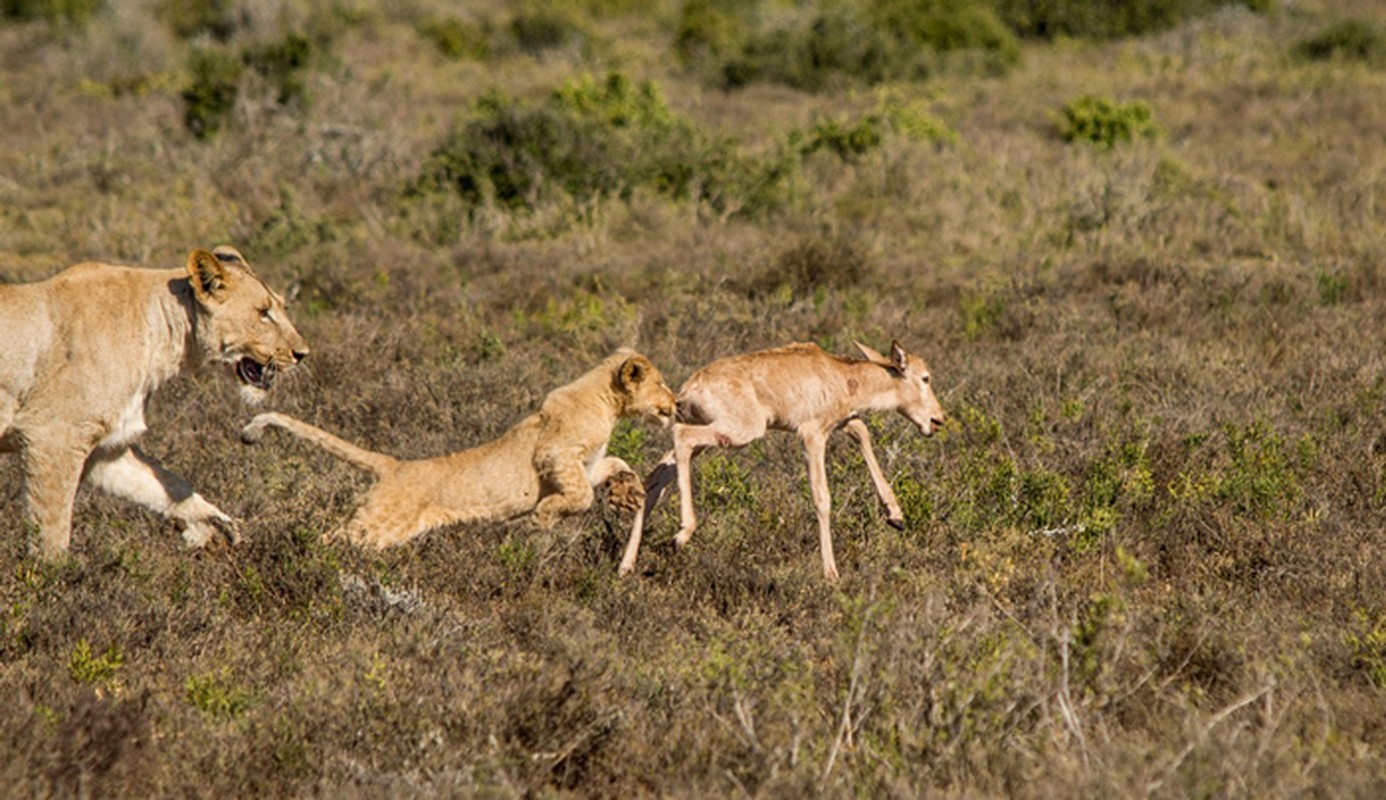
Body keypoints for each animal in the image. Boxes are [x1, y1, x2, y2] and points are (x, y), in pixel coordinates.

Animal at [623, 338, 948, 579]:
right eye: (925, 377)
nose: (938, 419)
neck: (842, 375)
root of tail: (686, 391)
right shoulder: (811, 434)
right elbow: (821, 497)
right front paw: (831, 575)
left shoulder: (842, 422)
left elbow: (862, 432)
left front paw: (896, 516)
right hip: (740, 431)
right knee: (681, 437)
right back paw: (681, 535)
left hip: (710, 433)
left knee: (656, 475)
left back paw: (626, 566)